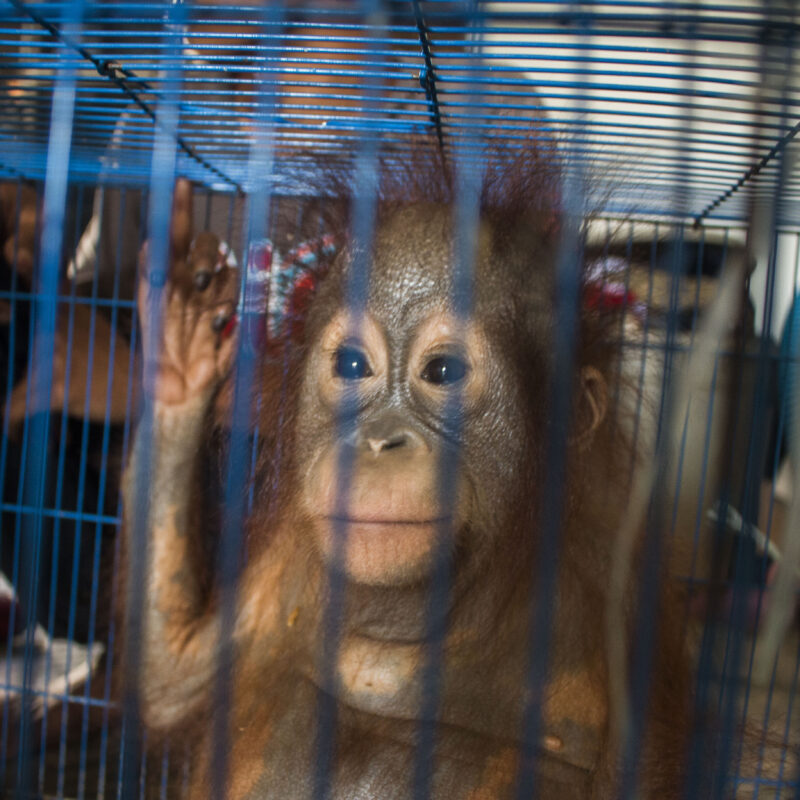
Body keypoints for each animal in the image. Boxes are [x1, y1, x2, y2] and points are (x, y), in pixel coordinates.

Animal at [124, 152, 697, 800]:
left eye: (443, 372)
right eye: (353, 365)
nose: (379, 441)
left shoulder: (628, 629)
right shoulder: (287, 568)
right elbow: (172, 680)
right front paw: (179, 351)